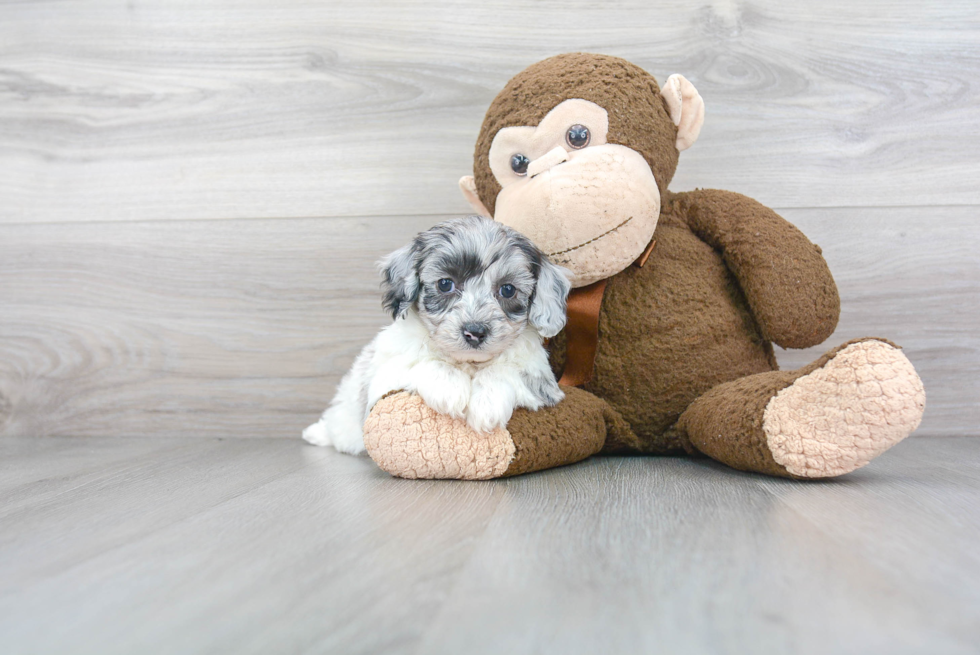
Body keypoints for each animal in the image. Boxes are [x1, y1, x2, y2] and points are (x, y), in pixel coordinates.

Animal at [302, 215, 572, 456]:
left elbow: (505, 371)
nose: (475, 332)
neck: (467, 363)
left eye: (507, 290)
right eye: (445, 284)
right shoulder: (385, 377)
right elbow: (423, 362)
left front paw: (487, 403)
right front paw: (450, 387)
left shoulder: (542, 380)